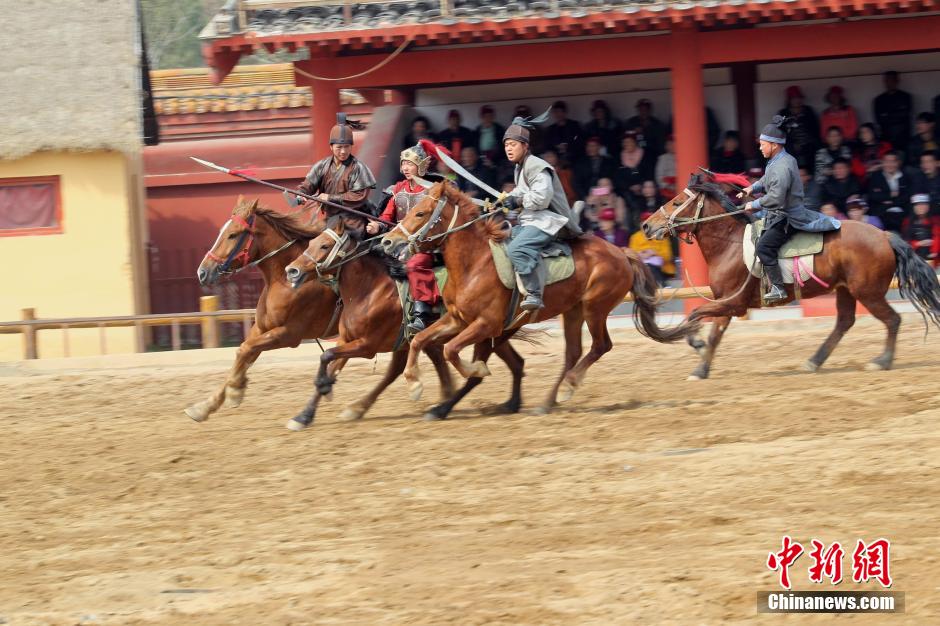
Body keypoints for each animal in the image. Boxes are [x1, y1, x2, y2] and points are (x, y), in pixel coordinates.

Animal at [282, 216, 528, 424]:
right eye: (311, 242)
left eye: (325, 246)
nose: (292, 270)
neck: (369, 290)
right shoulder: (349, 340)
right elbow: (330, 364)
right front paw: (304, 415)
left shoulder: (367, 345)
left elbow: (327, 356)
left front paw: (326, 393)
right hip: (493, 335)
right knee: (516, 363)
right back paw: (510, 404)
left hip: (482, 333)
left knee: (475, 373)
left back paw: (443, 408)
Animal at [380, 178, 696, 410]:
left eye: (420, 213)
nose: (387, 241)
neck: (475, 263)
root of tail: (620, 251)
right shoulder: (457, 319)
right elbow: (420, 339)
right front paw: (414, 383)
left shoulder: (486, 324)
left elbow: (451, 350)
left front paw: (476, 369)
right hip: (573, 310)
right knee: (573, 352)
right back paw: (548, 401)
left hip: (595, 308)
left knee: (600, 346)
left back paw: (568, 387)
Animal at [640, 177, 940, 380]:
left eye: (678, 202)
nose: (646, 225)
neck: (729, 245)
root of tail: (885, 236)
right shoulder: (726, 303)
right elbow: (708, 328)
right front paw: (700, 359)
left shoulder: (733, 302)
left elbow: (702, 322)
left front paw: (698, 357)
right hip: (846, 289)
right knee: (844, 322)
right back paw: (814, 361)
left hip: (868, 291)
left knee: (892, 319)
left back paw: (882, 360)